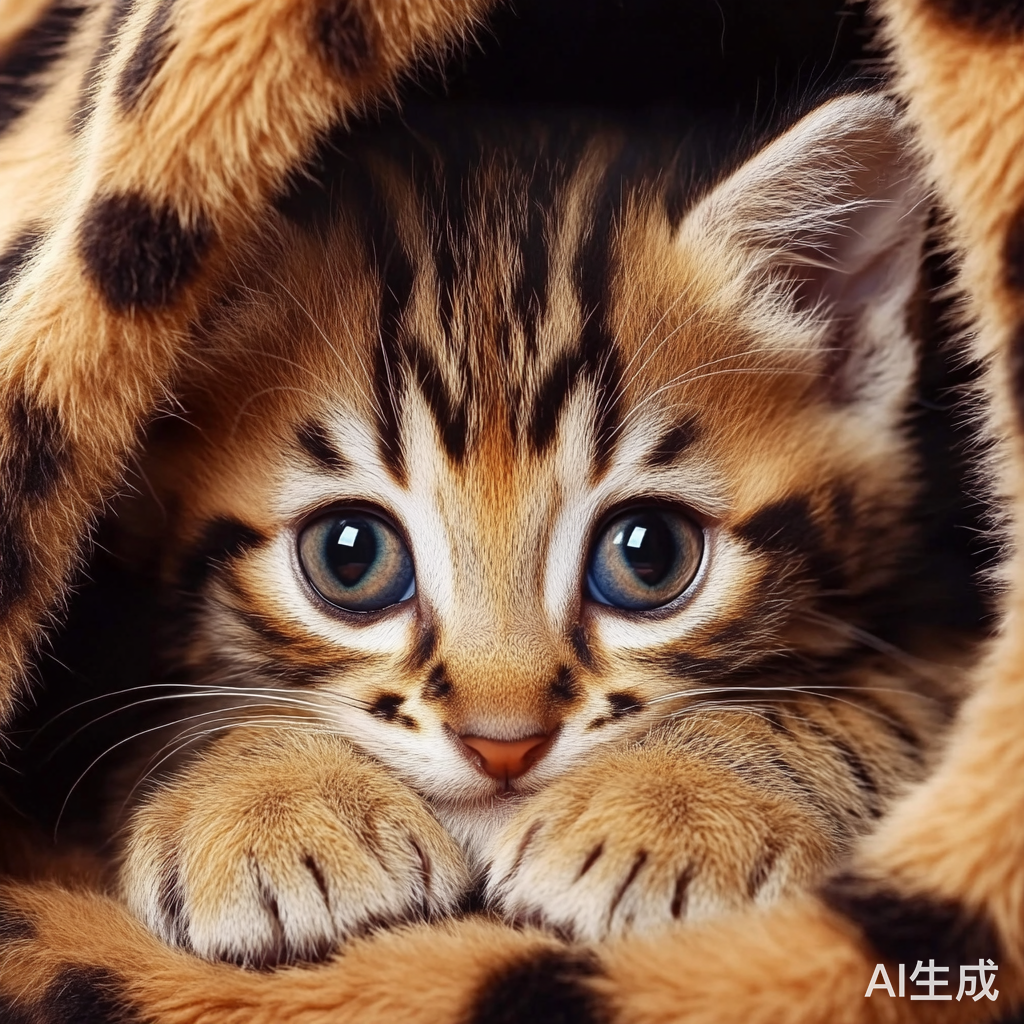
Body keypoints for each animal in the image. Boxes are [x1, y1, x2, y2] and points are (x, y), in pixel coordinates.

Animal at [0, 1, 1022, 1023]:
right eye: (349, 555)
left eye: (649, 555)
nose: (504, 745)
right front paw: (266, 798)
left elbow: (872, 696)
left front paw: (677, 802)